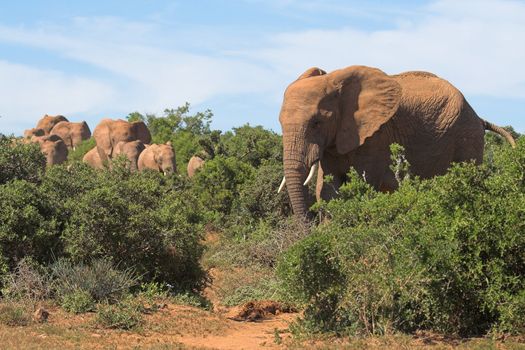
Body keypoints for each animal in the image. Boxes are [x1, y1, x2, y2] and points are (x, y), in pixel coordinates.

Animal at [278, 65, 516, 217]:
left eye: (316, 123)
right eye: (280, 123)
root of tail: (479, 117)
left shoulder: (376, 136)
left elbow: (361, 187)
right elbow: (328, 191)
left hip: (467, 139)